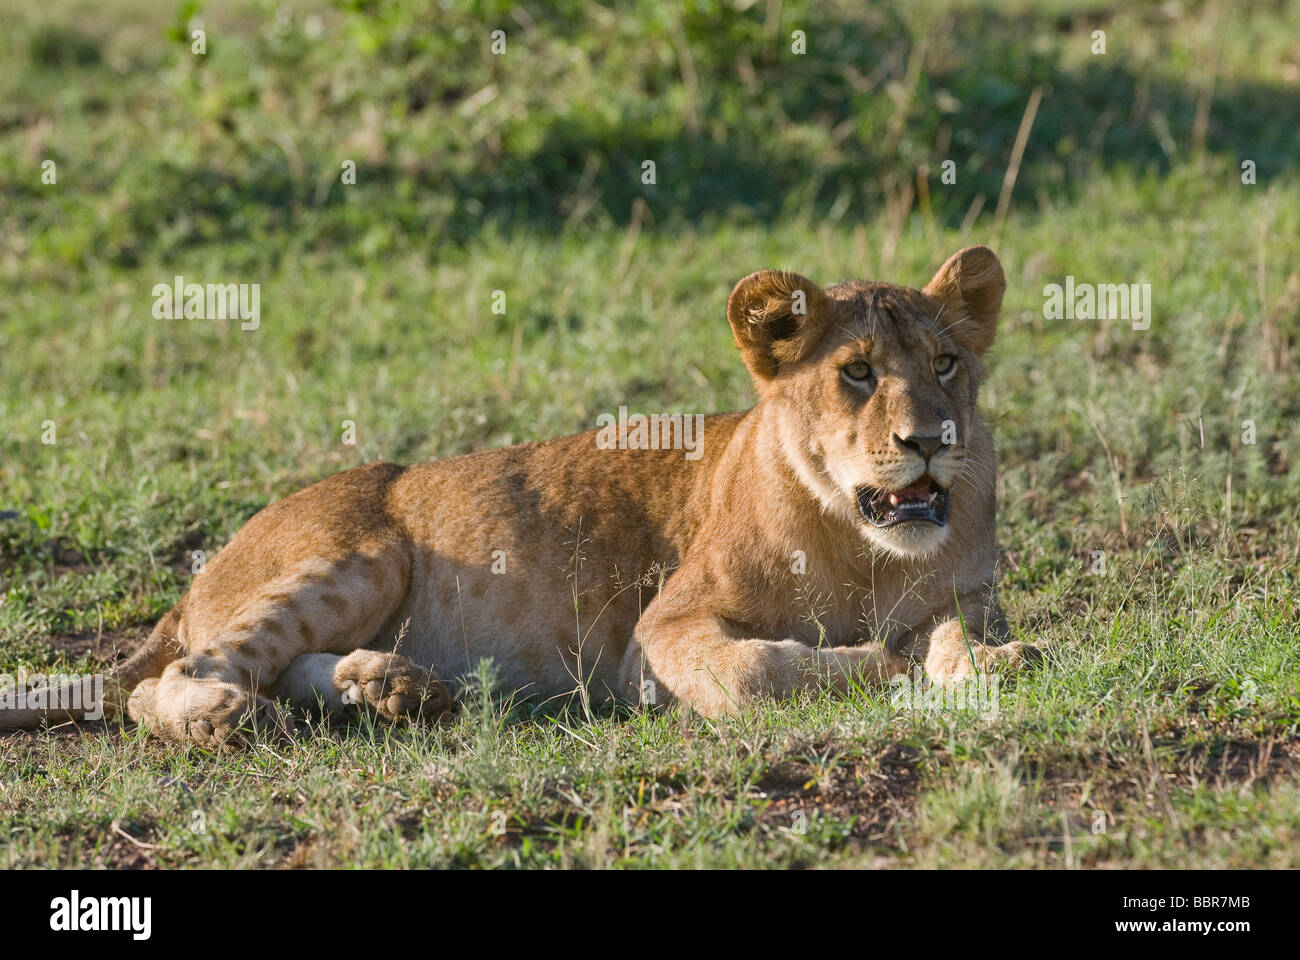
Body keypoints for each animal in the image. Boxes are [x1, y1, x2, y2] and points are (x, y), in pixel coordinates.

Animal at [3, 245, 1039, 744]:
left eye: (946, 364)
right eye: (857, 373)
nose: (930, 441)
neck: (863, 549)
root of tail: (193, 582)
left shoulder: (960, 594)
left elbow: (953, 635)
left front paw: (992, 663)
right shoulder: (658, 637)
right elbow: (756, 674)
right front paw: (882, 666)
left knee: (275, 669)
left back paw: (393, 690)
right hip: (361, 553)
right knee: (182, 678)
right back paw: (230, 716)